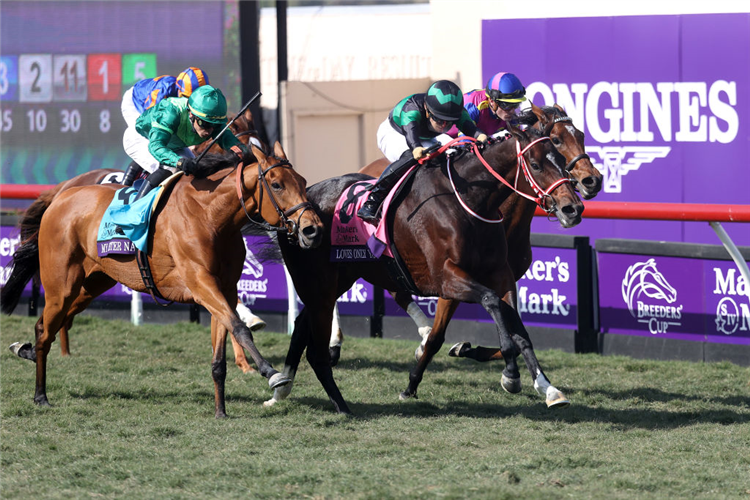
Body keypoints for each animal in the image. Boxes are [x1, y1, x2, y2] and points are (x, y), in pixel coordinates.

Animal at [0, 145, 324, 418]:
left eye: (302, 180)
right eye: (277, 184)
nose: (312, 229)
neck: (210, 215)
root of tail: (59, 197)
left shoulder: (224, 289)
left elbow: (222, 349)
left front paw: (220, 411)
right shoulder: (200, 283)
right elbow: (241, 328)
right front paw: (273, 374)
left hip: (92, 285)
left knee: (47, 326)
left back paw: (25, 351)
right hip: (61, 285)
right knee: (46, 330)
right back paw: (40, 395)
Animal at [264, 122, 588, 414]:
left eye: (560, 160)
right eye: (535, 164)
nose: (573, 208)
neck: (470, 202)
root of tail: (299, 205)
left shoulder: (500, 274)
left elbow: (520, 331)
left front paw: (548, 388)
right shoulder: (446, 278)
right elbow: (489, 303)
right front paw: (510, 374)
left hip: (338, 279)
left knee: (301, 324)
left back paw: (281, 389)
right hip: (318, 280)